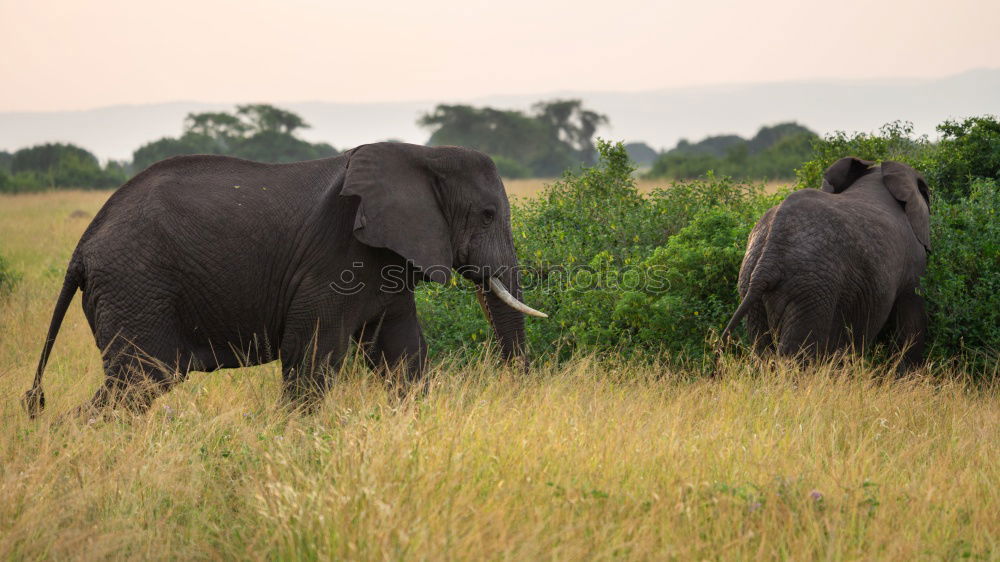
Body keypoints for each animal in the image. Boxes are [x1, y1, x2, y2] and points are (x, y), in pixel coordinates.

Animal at [728, 158, 928, 368]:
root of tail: (769, 257)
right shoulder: (914, 264)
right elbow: (911, 316)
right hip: (811, 288)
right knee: (797, 355)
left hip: (752, 279)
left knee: (762, 348)